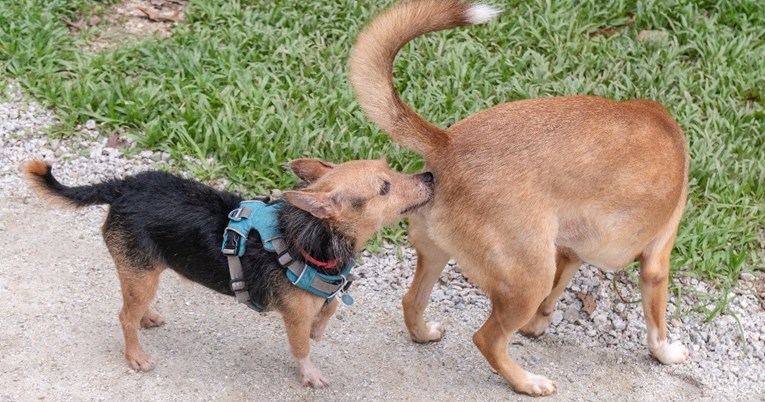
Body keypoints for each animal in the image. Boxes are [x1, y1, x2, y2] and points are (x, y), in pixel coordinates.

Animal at [20, 159, 432, 388]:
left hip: (144, 274)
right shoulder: (294, 318)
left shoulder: (325, 292)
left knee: (133, 307)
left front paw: (321, 326)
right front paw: (309, 373)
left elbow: (328, 306)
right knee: (124, 316)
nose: (429, 175)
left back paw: (147, 316)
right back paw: (135, 355)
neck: (311, 234)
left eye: (391, 168)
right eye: (385, 187)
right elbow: (302, 346)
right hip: (141, 274)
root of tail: (122, 186)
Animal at [350, 0, 688, 396]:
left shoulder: (567, 253)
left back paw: (425, 333)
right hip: (529, 278)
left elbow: (551, 299)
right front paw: (666, 354)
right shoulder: (656, 263)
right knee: (487, 339)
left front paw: (537, 327)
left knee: (411, 301)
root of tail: (447, 144)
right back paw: (527, 382)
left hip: (439, 255)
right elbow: (656, 329)